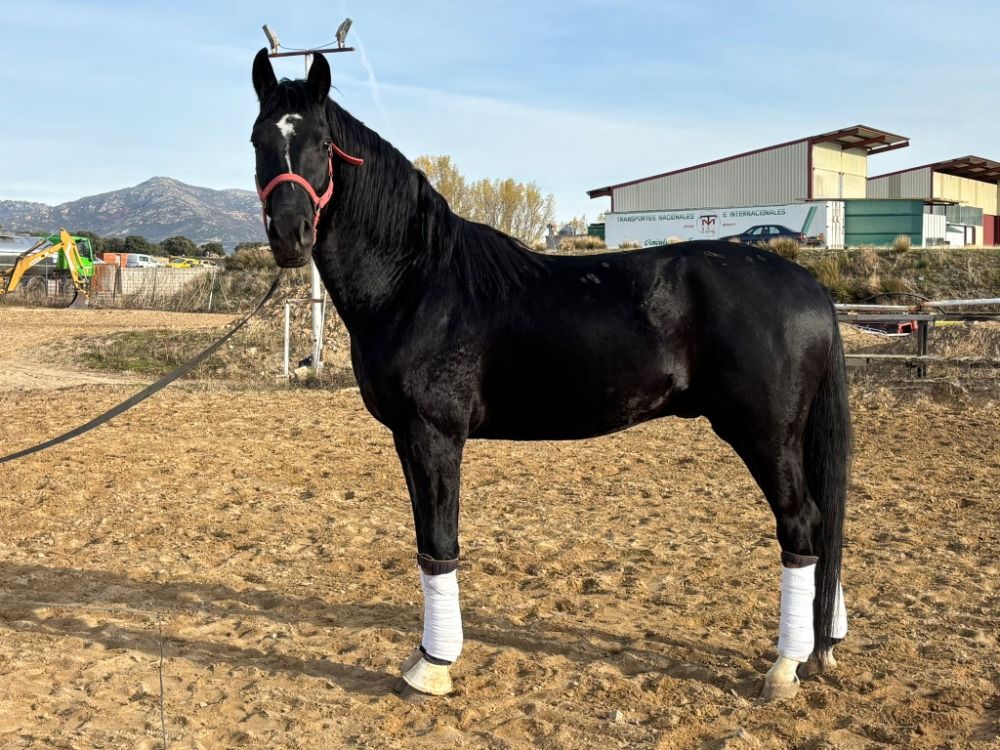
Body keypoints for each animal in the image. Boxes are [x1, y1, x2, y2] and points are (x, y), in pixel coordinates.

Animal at [250, 49, 851, 700]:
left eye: (321, 141)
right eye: (259, 138)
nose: (290, 234)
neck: (416, 279)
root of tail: (808, 285)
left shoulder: (434, 434)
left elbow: (438, 543)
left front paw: (432, 665)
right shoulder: (408, 438)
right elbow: (425, 542)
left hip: (764, 433)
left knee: (802, 524)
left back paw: (785, 666)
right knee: (823, 524)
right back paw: (822, 645)